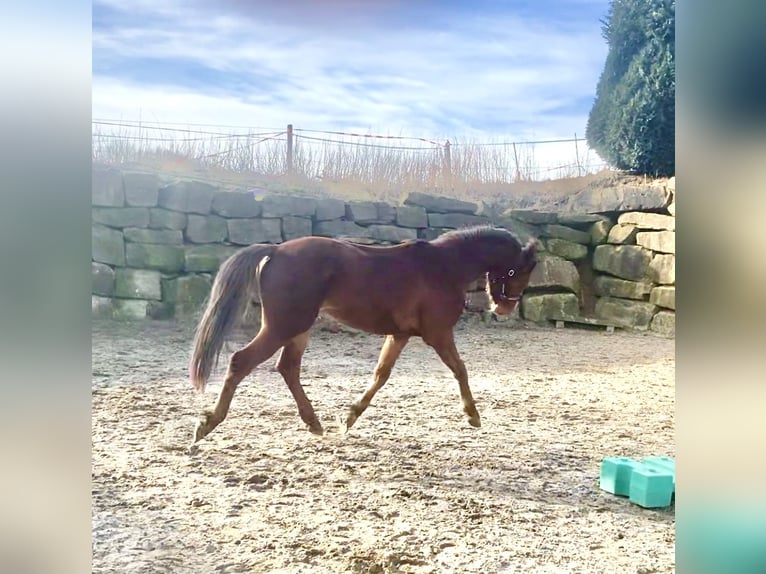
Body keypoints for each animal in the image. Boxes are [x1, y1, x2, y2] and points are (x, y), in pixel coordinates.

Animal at [191, 225, 536, 446]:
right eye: (520, 270)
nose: (504, 308)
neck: (444, 267)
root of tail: (275, 251)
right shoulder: (437, 333)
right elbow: (460, 369)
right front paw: (473, 416)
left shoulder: (399, 335)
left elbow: (381, 374)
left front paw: (350, 417)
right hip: (283, 326)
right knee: (241, 362)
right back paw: (207, 424)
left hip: (297, 328)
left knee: (287, 367)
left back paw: (314, 423)